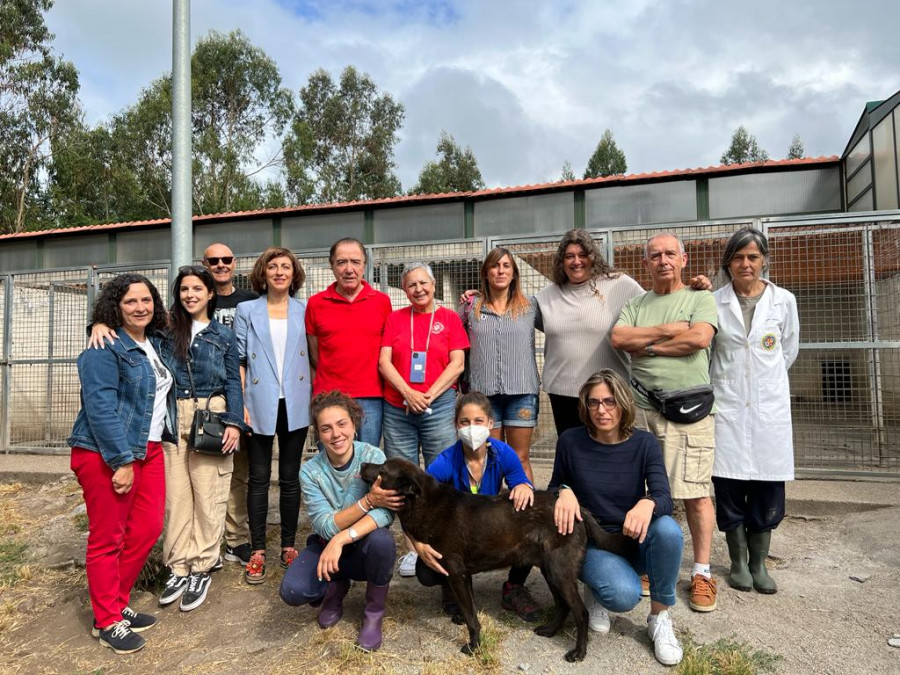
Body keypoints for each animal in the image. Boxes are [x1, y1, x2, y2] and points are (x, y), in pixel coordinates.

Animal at [358, 460, 632, 660]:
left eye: (382, 471)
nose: (361, 464)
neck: (424, 502)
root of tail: (576, 509)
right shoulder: (462, 576)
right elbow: (469, 610)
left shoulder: (456, 574)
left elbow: (471, 618)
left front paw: (473, 646)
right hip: (550, 570)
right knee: (563, 606)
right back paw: (549, 631)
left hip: (559, 571)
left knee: (581, 612)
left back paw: (578, 652)